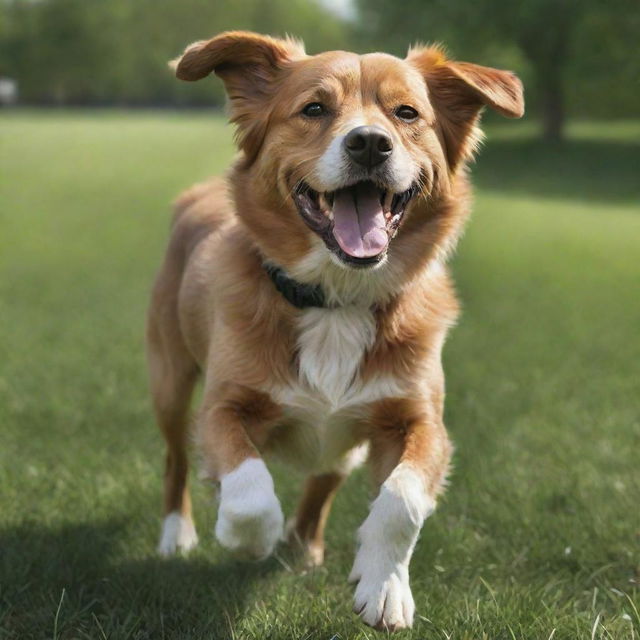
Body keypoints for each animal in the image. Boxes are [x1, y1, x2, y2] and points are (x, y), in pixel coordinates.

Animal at [146, 31, 524, 632]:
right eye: (314, 109)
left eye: (407, 113)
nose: (370, 143)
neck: (337, 299)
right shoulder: (222, 408)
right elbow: (249, 492)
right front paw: (244, 537)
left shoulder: (420, 421)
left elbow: (402, 502)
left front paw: (383, 584)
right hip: (170, 381)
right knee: (175, 460)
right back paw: (177, 535)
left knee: (325, 476)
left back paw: (304, 544)